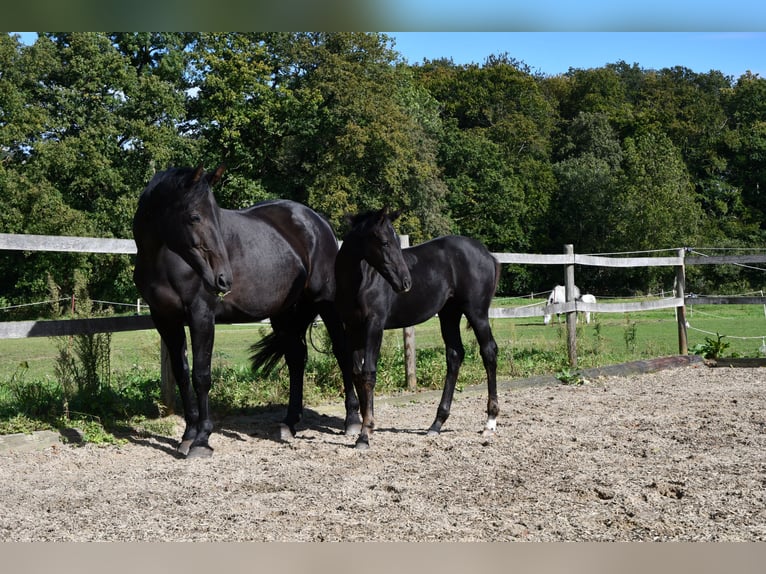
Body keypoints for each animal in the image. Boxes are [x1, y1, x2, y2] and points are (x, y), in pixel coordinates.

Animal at [134, 166, 362, 460]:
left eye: (216, 216)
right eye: (194, 216)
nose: (222, 279)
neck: (164, 259)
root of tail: (318, 221)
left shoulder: (201, 315)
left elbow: (201, 376)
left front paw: (202, 439)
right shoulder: (165, 319)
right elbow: (182, 375)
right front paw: (187, 435)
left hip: (327, 304)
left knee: (342, 353)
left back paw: (352, 420)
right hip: (284, 313)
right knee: (296, 358)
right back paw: (289, 423)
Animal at [338, 209, 504, 452]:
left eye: (397, 242)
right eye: (385, 242)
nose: (405, 283)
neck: (361, 282)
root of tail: (488, 255)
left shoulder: (374, 325)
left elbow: (369, 373)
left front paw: (364, 435)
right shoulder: (352, 329)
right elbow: (357, 373)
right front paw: (365, 427)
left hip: (477, 313)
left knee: (489, 352)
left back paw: (490, 422)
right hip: (449, 313)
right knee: (455, 355)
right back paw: (436, 423)